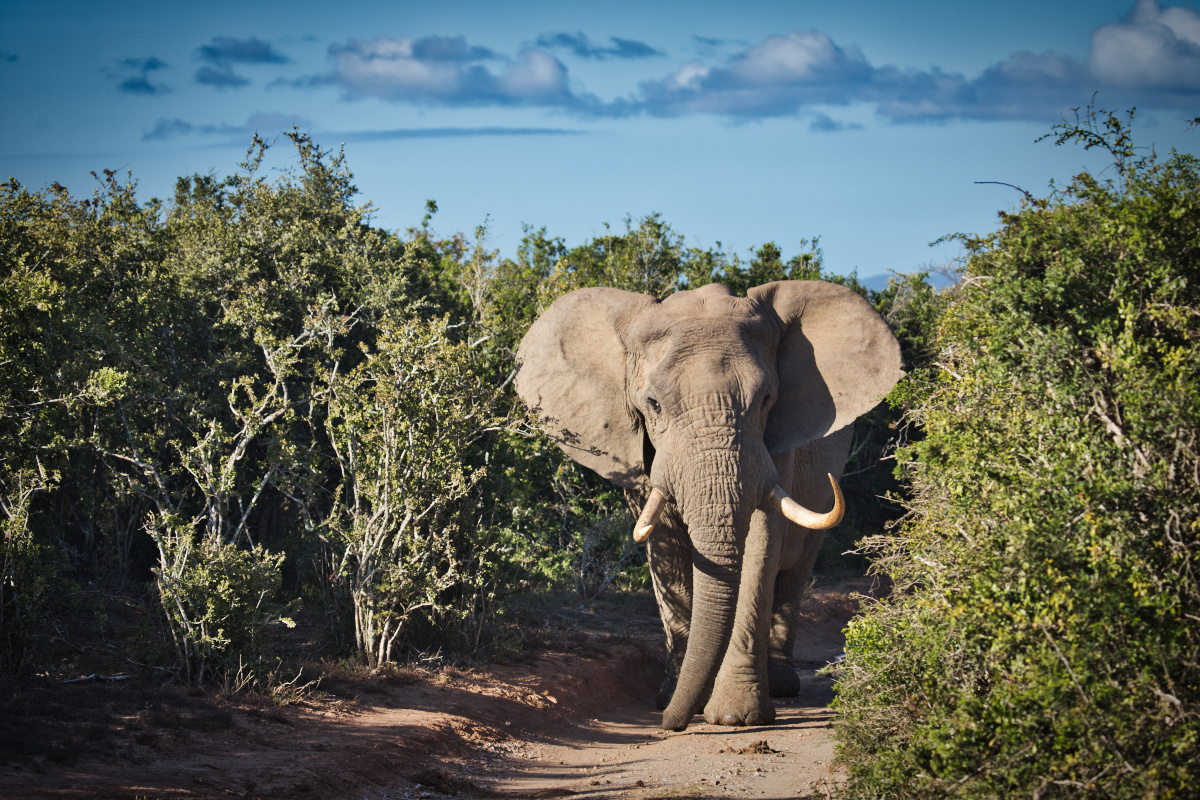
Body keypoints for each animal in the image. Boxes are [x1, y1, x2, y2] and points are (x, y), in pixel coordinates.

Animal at [516, 281, 902, 734]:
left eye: (766, 399)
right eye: (653, 403)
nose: (669, 724)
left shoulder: (775, 445)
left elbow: (760, 546)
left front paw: (735, 716)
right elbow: (666, 548)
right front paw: (674, 696)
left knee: (795, 570)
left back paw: (782, 685)